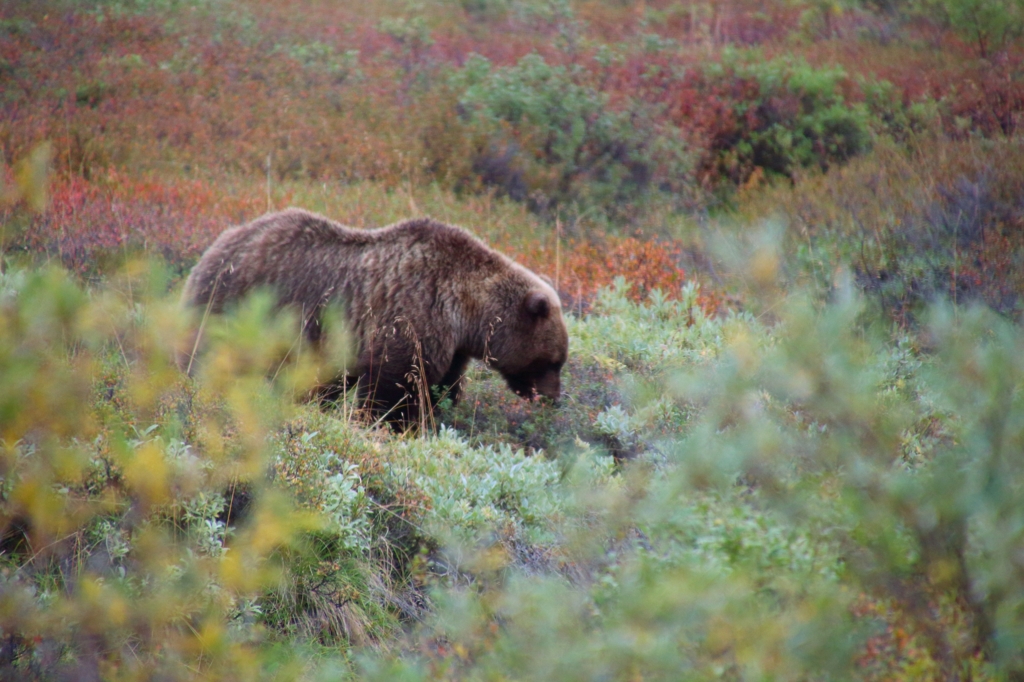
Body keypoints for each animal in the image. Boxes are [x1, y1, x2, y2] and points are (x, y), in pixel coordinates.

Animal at [182, 206, 569, 421]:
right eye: (553, 361)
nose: (553, 399)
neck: (465, 312)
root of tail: (219, 242)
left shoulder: (450, 346)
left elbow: (440, 387)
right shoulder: (409, 317)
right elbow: (394, 388)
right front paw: (390, 424)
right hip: (234, 300)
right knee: (205, 352)